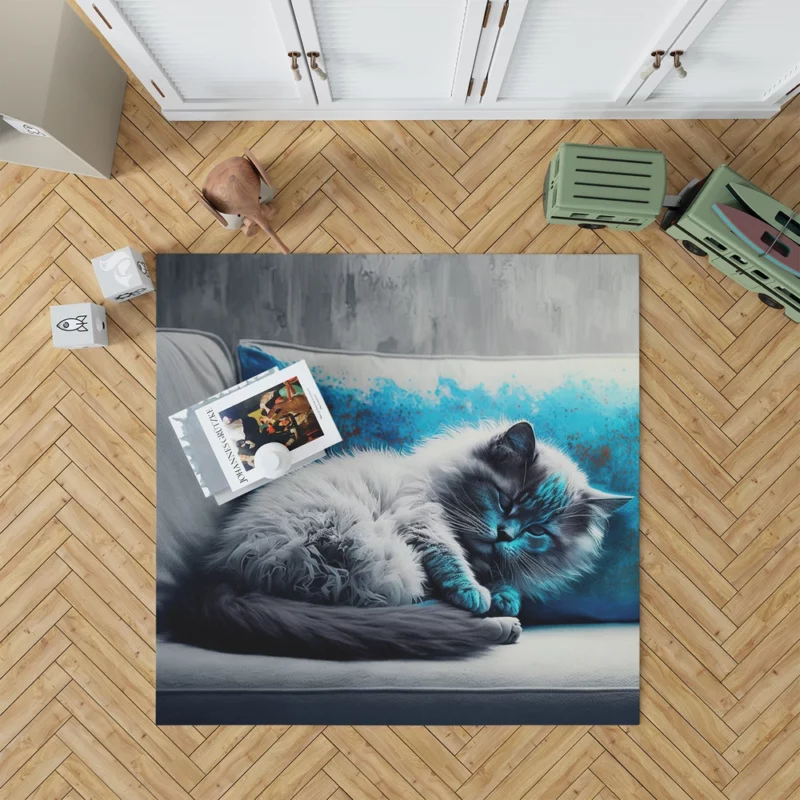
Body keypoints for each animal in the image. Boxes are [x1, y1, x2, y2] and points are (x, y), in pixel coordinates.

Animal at [166, 422, 632, 660]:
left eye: (538, 531)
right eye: (506, 500)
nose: (506, 534)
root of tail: (217, 573)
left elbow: (501, 578)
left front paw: (503, 594)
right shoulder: (420, 519)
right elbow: (451, 560)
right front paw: (479, 595)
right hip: (380, 557)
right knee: (385, 614)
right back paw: (494, 624)